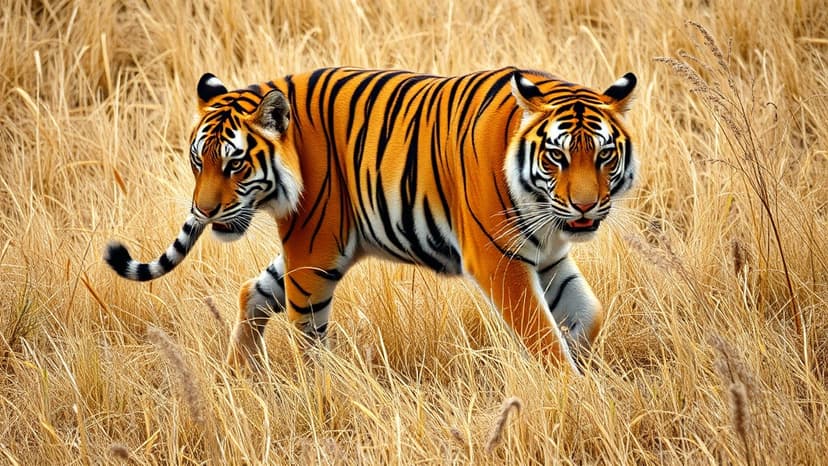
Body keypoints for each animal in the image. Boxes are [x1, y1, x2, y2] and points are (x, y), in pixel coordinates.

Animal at [105, 66, 637, 374]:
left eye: (603, 156)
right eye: (556, 157)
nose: (205, 209)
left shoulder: (546, 257)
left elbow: (586, 315)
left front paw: (582, 365)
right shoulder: (499, 259)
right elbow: (542, 337)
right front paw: (573, 391)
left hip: (310, 253)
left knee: (254, 291)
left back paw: (240, 375)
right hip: (314, 254)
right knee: (306, 337)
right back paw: (321, 392)